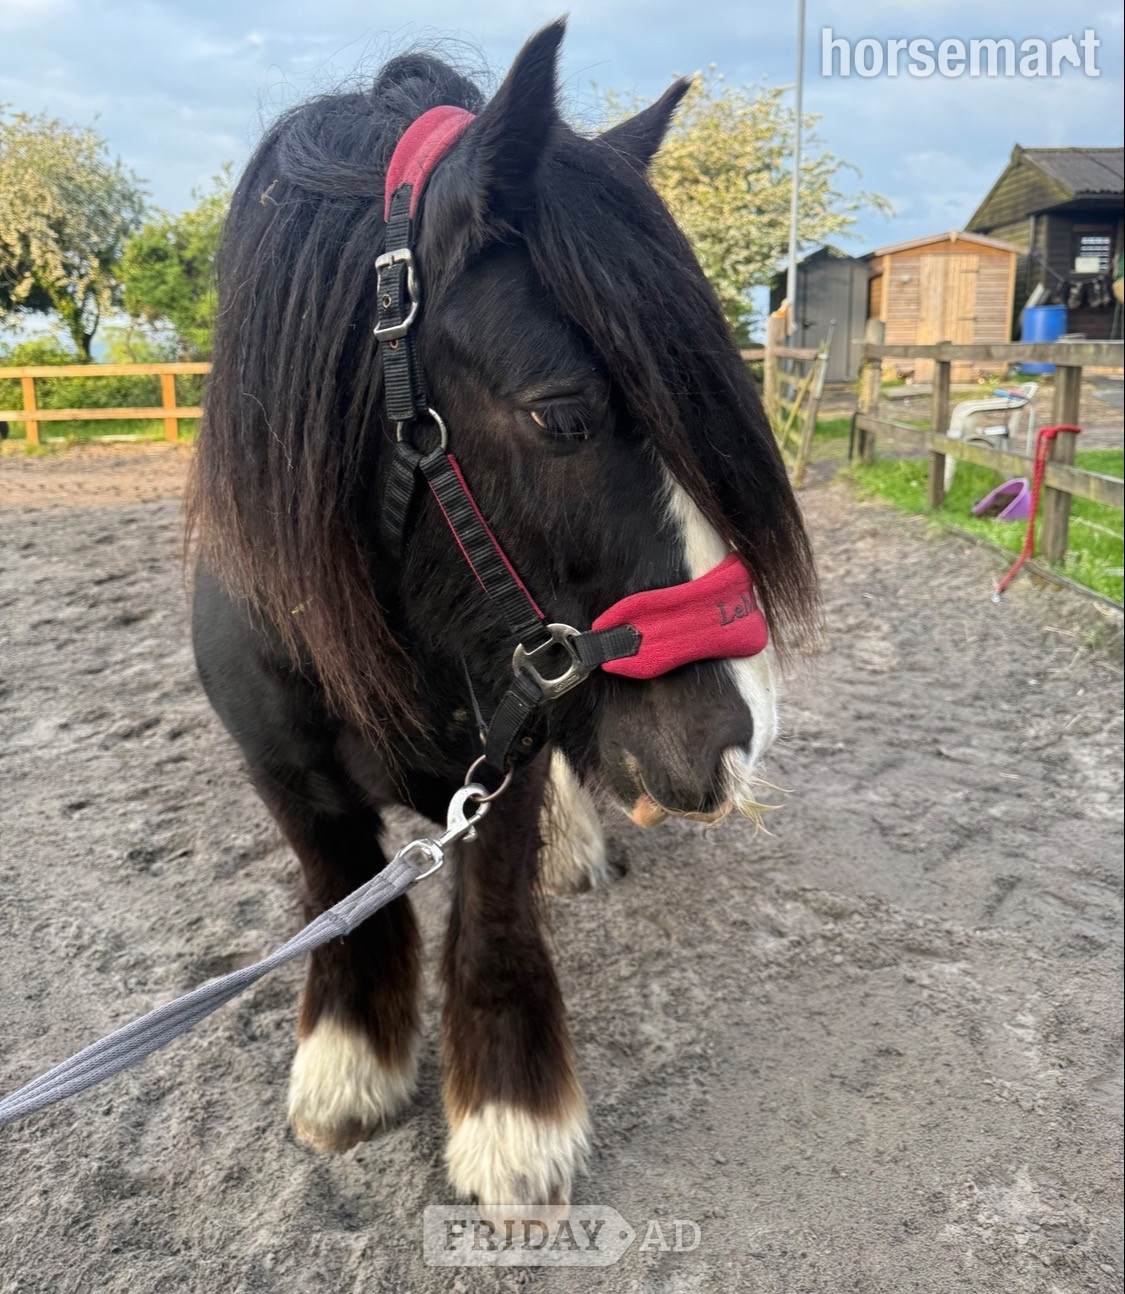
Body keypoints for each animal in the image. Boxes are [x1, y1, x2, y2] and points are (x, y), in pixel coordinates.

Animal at [186, 19, 818, 1209]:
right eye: (560, 415)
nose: (735, 735)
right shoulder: (284, 773)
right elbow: (341, 892)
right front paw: (347, 1066)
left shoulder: (500, 766)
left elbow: (494, 919)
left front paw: (512, 1124)